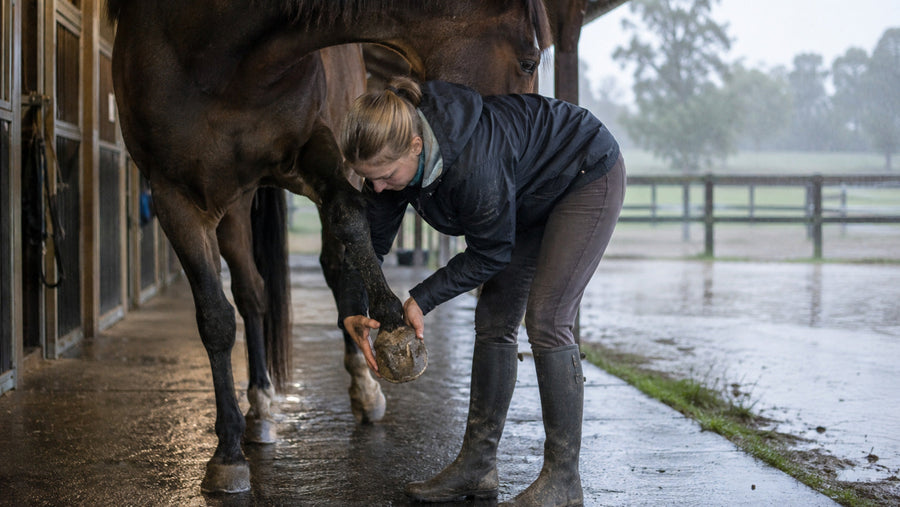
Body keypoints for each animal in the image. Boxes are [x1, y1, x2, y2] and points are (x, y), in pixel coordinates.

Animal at [107, 0, 552, 493]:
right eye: (529, 61)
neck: (218, 47)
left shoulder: (317, 146)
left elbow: (349, 218)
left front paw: (393, 326)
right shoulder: (175, 197)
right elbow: (216, 320)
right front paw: (226, 454)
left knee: (320, 270)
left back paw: (358, 389)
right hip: (234, 203)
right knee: (251, 293)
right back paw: (260, 407)